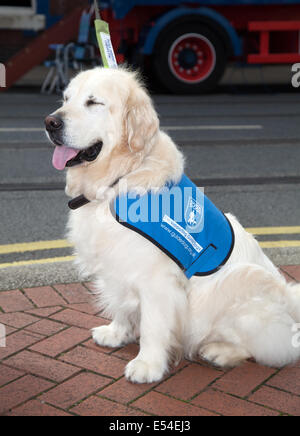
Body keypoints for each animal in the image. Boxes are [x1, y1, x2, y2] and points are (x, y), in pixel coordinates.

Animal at [44, 66, 300, 384]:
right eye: (66, 99)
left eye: (94, 102)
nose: (50, 122)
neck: (121, 178)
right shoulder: (117, 265)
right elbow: (121, 305)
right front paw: (117, 334)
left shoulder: (157, 280)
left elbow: (153, 327)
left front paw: (147, 365)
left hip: (242, 280)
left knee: (264, 348)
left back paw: (219, 352)